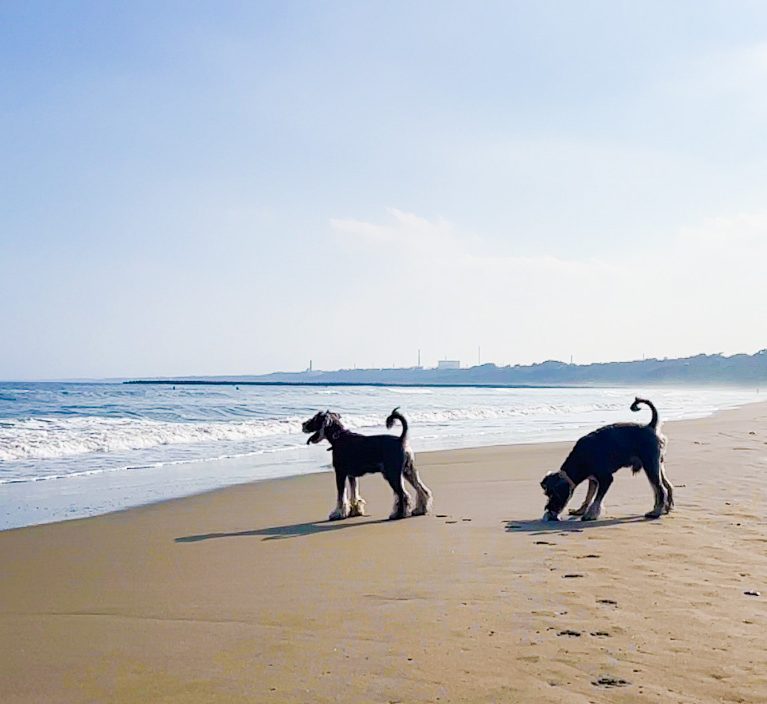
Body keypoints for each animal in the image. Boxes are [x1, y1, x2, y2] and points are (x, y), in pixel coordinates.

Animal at [300, 410, 432, 520]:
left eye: (315, 419)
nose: (303, 424)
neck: (338, 437)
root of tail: (400, 440)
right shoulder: (351, 475)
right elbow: (354, 494)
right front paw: (355, 511)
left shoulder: (340, 473)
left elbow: (341, 496)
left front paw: (337, 513)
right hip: (407, 471)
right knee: (421, 489)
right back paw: (420, 510)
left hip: (392, 474)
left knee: (403, 494)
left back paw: (399, 514)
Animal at [540, 396, 672, 524]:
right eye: (546, 494)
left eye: (554, 494)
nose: (548, 509)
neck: (581, 458)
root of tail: (650, 426)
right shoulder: (593, 480)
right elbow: (589, 496)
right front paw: (580, 510)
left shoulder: (606, 479)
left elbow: (597, 499)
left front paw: (590, 515)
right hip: (657, 465)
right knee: (664, 486)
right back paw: (664, 508)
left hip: (650, 465)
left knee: (660, 489)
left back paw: (656, 512)